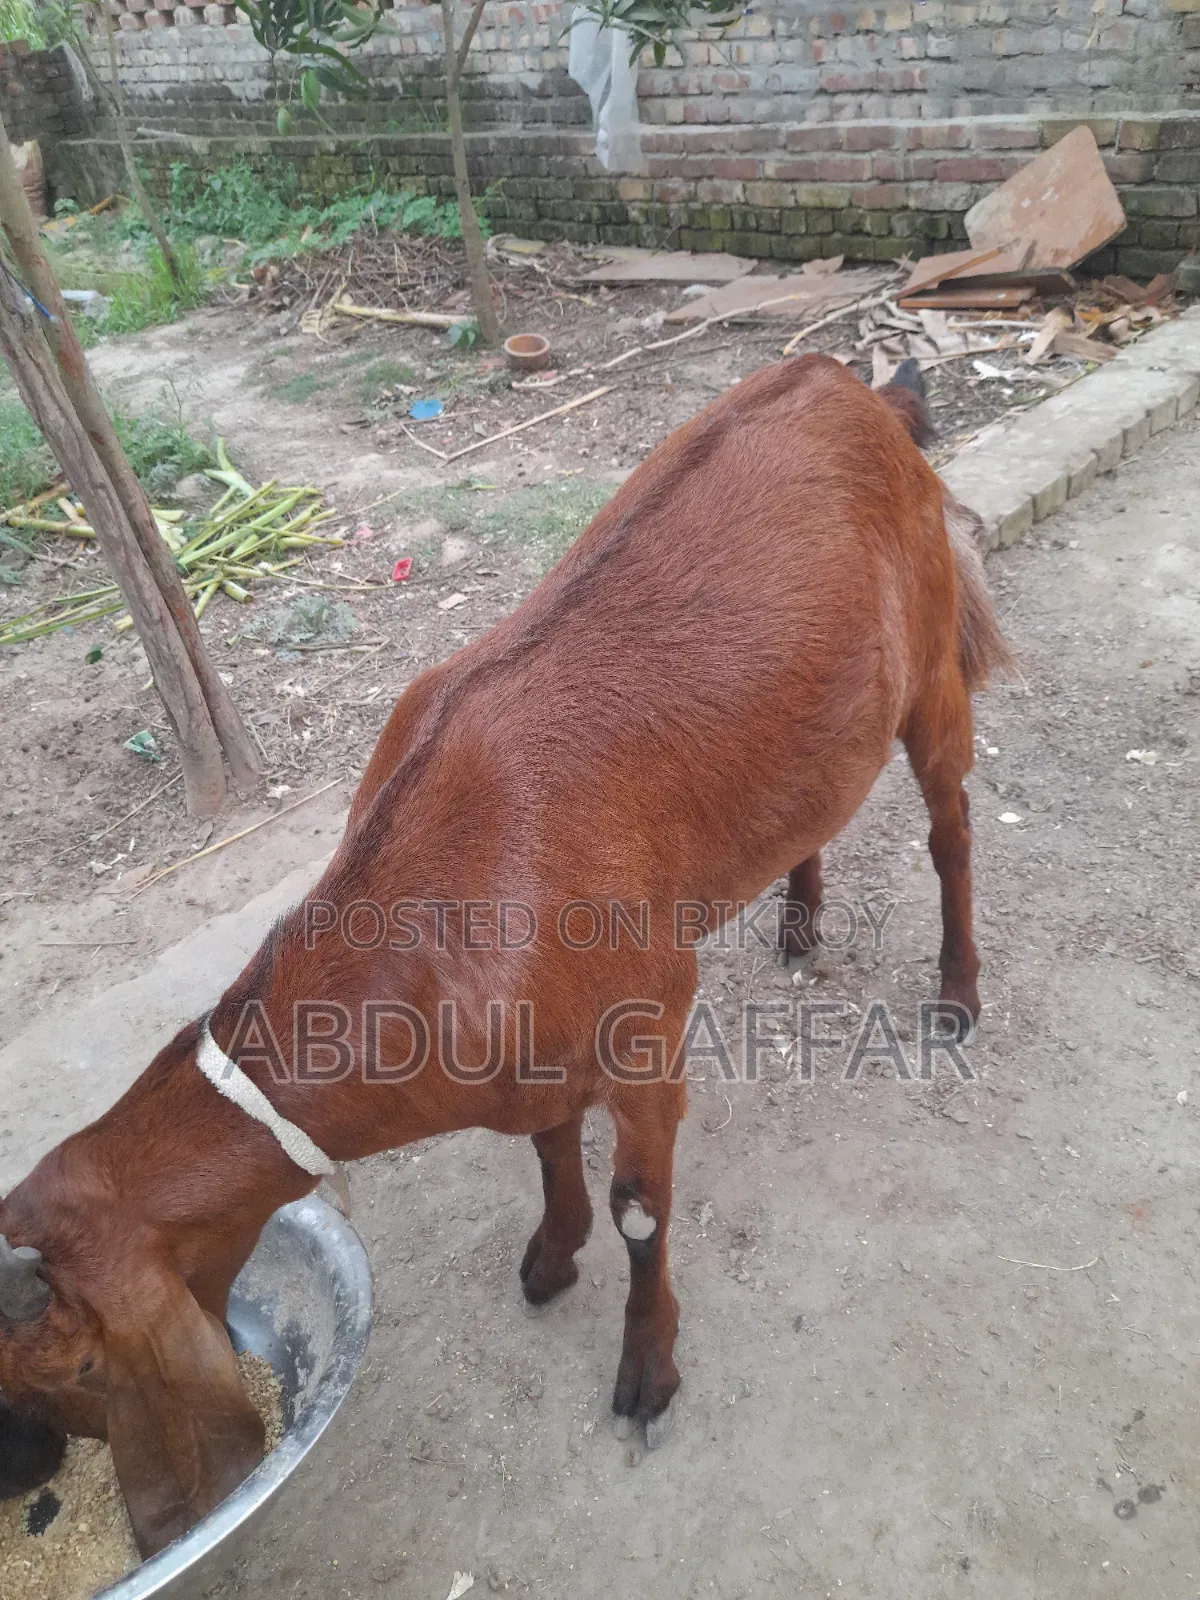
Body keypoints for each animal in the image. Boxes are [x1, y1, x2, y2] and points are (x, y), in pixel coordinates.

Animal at [0, 355, 1010, 1556]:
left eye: (79, 1364)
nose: (39, 1474)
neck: (450, 896)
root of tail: (853, 381)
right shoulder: (541, 1047)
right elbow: (544, 1142)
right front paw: (550, 1253)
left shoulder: (649, 1023)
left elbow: (640, 1208)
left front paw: (647, 1371)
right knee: (822, 805)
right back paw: (801, 924)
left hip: (932, 659)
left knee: (951, 823)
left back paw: (956, 994)